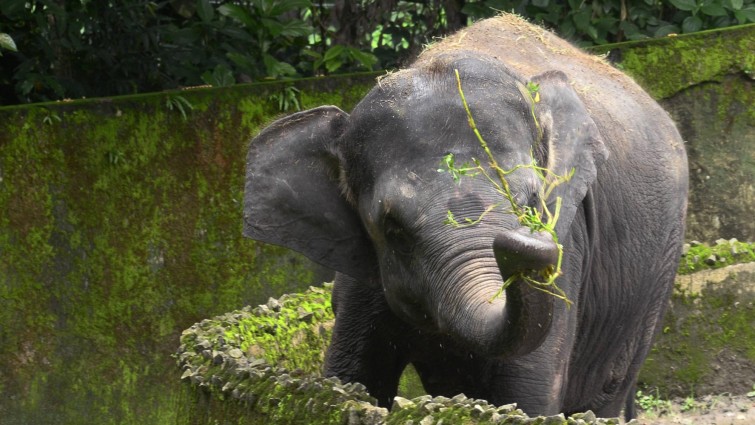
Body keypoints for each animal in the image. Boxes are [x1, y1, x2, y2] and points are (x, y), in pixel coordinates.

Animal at [243, 14, 688, 421]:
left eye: (532, 205)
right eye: (392, 229)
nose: (521, 246)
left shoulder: (569, 244)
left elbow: (528, 393)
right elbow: (352, 377)